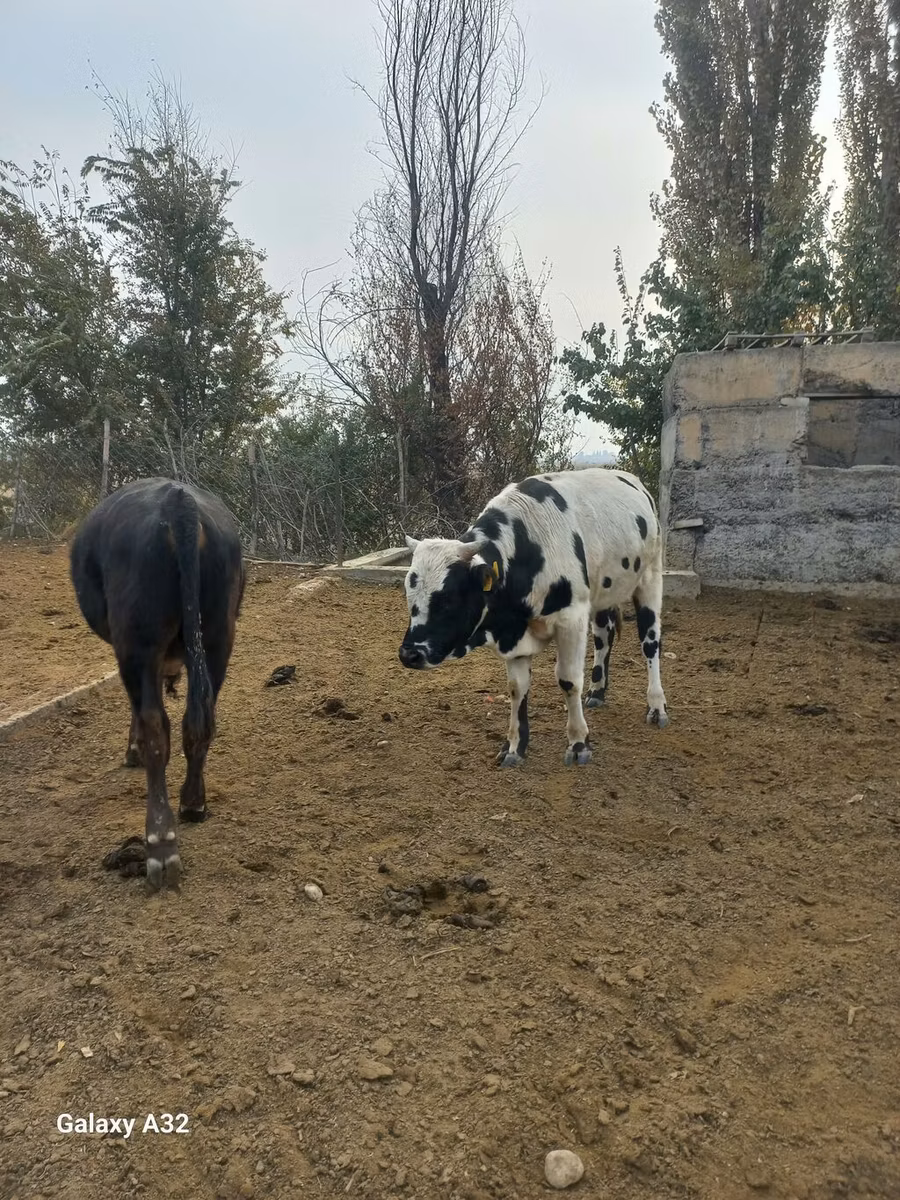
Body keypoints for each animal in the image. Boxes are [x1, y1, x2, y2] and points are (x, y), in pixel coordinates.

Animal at [70, 478, 245, 889]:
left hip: (137, 643)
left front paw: (130, 748)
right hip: (217, 637)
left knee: (156, 728)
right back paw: (193, 802)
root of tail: (177, 501)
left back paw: (160, 843)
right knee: (198, 723)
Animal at [398, 468, 669, 767]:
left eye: (448, 600)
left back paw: (656, 705)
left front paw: (578, 743)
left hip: (650, 579)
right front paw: (515, 747)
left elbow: (569, 680)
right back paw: (598, 690)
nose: (409, 655)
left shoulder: (571, 619)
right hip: (603, 594)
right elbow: (517, 687)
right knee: (604, 637)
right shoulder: (516, 634)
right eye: (409, 595)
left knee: (650, 643)